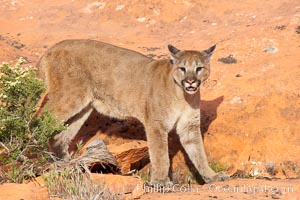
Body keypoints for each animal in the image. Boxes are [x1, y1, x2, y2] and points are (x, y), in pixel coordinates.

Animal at [37, 39, 230, 185]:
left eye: (199, 68)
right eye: (182, 68)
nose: (190, 81)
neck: (184, 97)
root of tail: (54, 46)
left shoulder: (189, 127)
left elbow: (199, 154)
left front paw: (212, 176)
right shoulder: (156, 125)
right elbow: (160, 155)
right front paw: (161, 182)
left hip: (83, 108)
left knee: (59, 137)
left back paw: (66, 164)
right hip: (68, 97)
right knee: (39, 120)